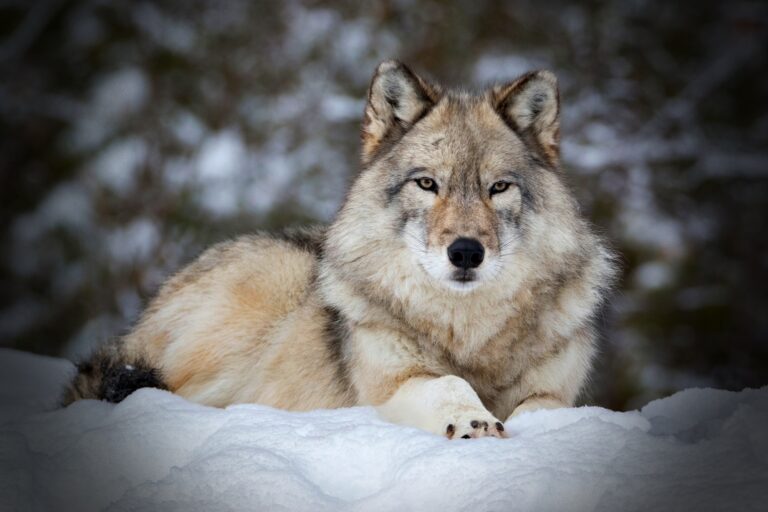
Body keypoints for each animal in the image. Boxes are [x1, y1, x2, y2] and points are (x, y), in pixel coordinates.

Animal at [63, 61, 616, 439]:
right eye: (427, 184)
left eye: (498, 188)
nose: (465, 252)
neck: (469, 334)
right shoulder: (392, 383)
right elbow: (449, 385)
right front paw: (473, 421)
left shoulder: (555, 391)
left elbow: (548, 408)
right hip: (264, 293)